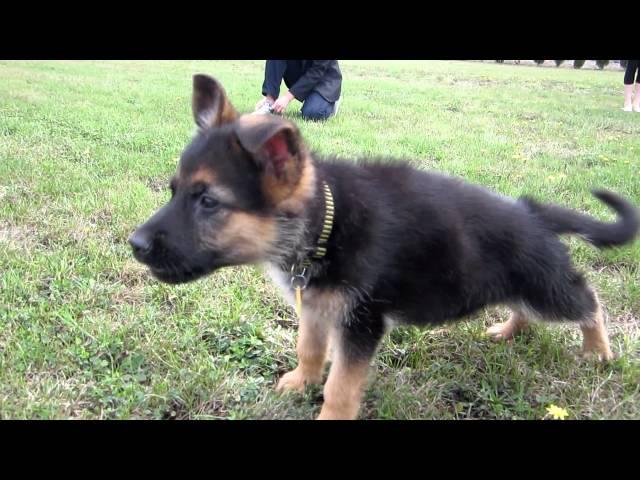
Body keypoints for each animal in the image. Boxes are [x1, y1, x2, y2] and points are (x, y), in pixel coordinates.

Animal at [130, 75, 640, 420]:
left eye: (209, 202)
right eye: (174, 191)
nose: (134, 245)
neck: (325, 223)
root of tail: (533, 212)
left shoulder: (360, 323)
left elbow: (340, 385)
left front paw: (328, 412)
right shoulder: (317, 305)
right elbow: (309, 348)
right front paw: (299, 382)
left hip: (545, 286)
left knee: (589, 301)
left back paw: (598, 351)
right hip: (523, 287)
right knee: (532, 309)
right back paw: (508, 329)